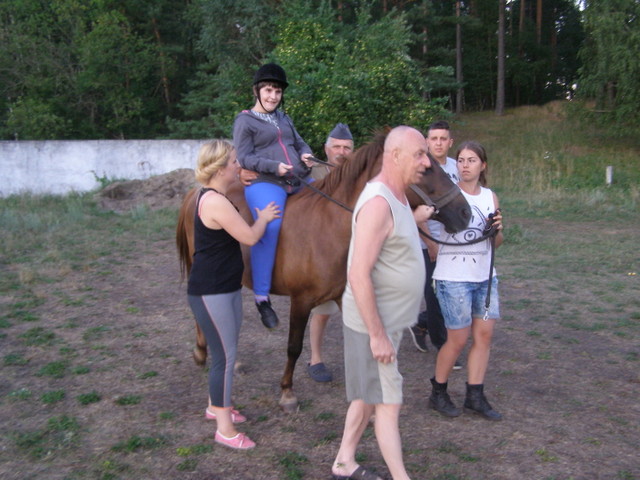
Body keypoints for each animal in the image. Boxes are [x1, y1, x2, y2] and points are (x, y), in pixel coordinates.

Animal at [176, 129, 471, 412]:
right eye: (426, 168)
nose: (465, 213)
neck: (329, 227)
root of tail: (198, 192)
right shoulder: (301, 300)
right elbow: (294, 347)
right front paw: (287, 392)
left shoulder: (343, 297)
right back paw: (202, 352)